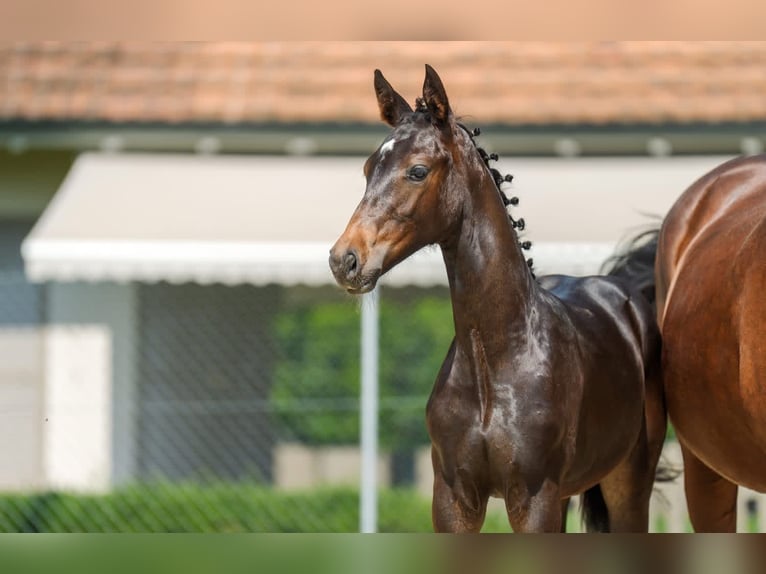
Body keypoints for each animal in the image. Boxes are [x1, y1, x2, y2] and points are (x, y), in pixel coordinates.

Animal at [328, 65, 667, 532]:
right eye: (367, 169)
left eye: (417, 171)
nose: (345, 259)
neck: (495, 362)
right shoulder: (454, 499)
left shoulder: (534, 497)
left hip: (627, 483)